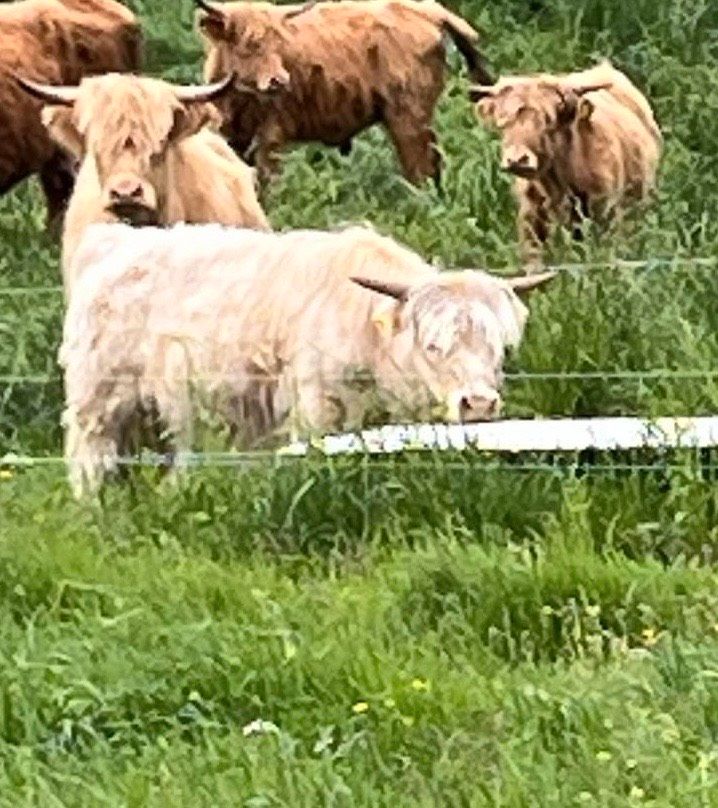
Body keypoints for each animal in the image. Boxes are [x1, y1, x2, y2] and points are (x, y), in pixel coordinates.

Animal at [62, 223, 556, 498]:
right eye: (433, 345)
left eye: (499, 347)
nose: (479, 405)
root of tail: (112, 240)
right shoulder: (317, 407)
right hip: (100, 401)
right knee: (90, 459)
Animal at [197, 0, 496, 186]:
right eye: (249, 44)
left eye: (279, 44)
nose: (278, 81)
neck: (239, 101)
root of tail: (427, 10)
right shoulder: (235, 138)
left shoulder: (271, 137)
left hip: (408, 117)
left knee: (421, 168)